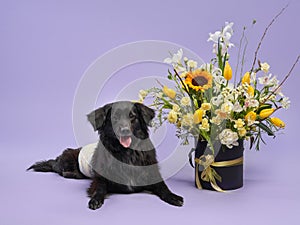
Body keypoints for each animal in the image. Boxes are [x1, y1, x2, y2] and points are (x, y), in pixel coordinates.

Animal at [27, 101, 183, 210]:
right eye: (114, 117)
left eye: (132, 116)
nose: (125, 130)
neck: (127, 152)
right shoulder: (101, 177)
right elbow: (100, 187)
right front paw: (95, 200)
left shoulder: (151, 174)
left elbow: (163, 186)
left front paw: (173, 196)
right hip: (67, 159)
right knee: (58, 168)